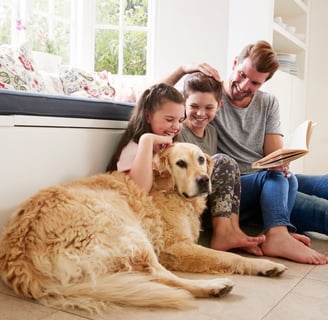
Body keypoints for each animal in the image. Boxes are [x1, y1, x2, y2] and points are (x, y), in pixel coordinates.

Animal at [0, 143, 288, 316]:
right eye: (180, 163)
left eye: (201, 159)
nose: (204, 180)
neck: (171, 191)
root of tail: (18, 257)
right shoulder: (175, 247)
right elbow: (229, 256)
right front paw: (264, 265)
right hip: (128, 232)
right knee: (162, 277)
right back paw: (214, 287)